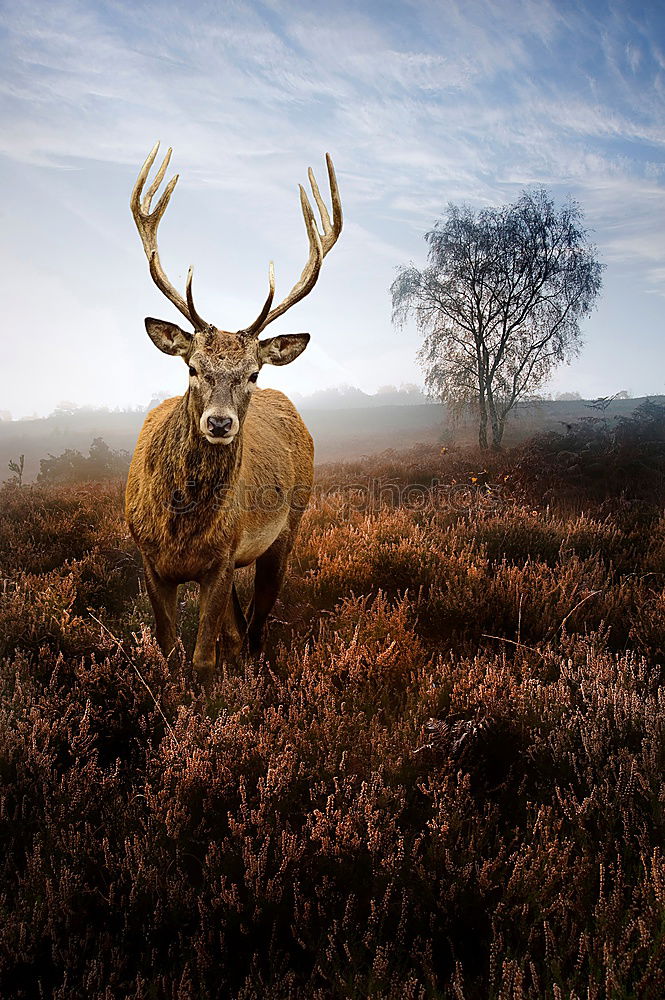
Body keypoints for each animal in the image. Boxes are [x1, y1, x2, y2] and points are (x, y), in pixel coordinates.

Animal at [124, 145, 342, 680]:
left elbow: (203, 659)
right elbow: (169, 650)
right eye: (192, 367)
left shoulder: (221, 559)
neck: (181, 529)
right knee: (238, 628)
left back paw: (255, 670)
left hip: (288, 526)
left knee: (257, 623)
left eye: (253, 373)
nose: (220, 423)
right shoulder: (149, 558)